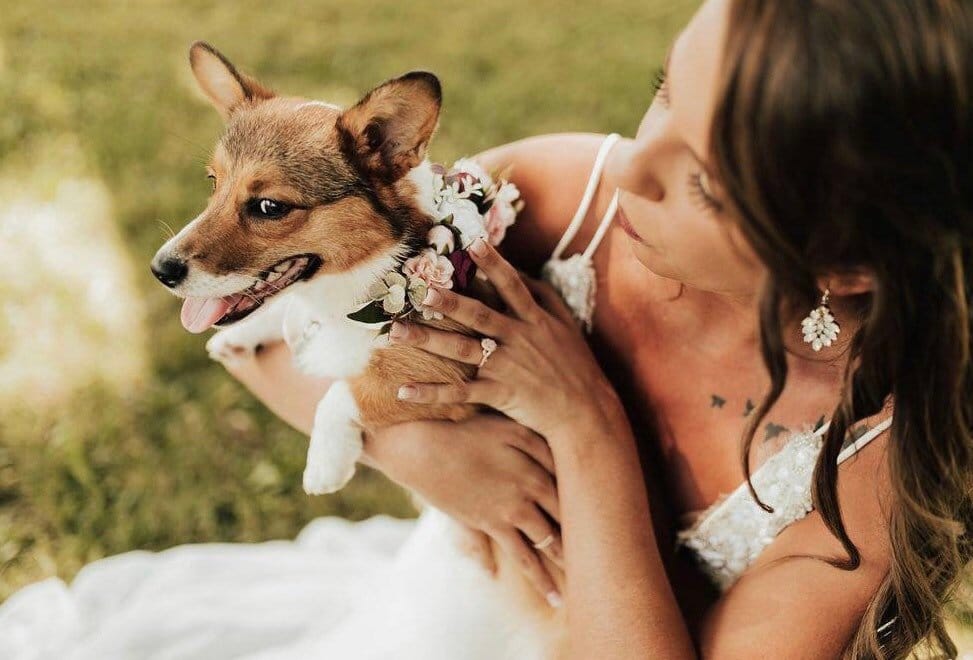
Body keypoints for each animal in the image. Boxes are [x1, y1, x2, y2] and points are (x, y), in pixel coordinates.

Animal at [149, 43, 564, 656]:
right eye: (212, 182)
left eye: (268, 207)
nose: (161, 270)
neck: (363, 287)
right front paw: (249, 331)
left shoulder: (452, 375)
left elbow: (350, 389)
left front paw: (325, 460)